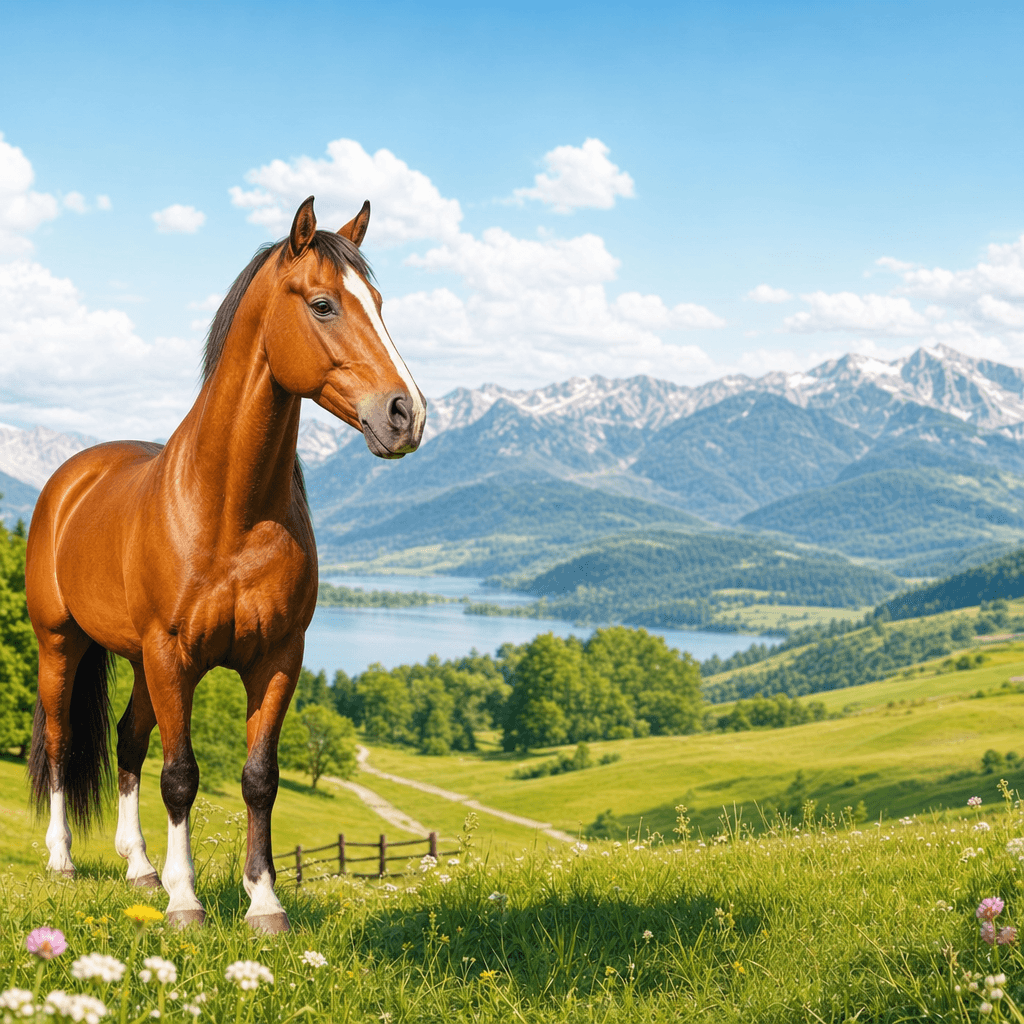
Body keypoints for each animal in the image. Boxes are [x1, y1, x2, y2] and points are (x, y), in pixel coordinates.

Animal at [25, 196, 426, 932]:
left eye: (380, 303)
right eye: (323, 304)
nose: (406, 415)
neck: (228, 510)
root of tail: (71, 477)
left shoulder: (277, 659)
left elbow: (258, 779)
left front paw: (263, 901)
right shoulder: (173, 654)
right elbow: (182, 776)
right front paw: (187, 901)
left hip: (139, 663)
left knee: (127, 742)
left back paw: (140, 868)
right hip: (63, 645)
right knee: (65, 742)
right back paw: (65, 859)